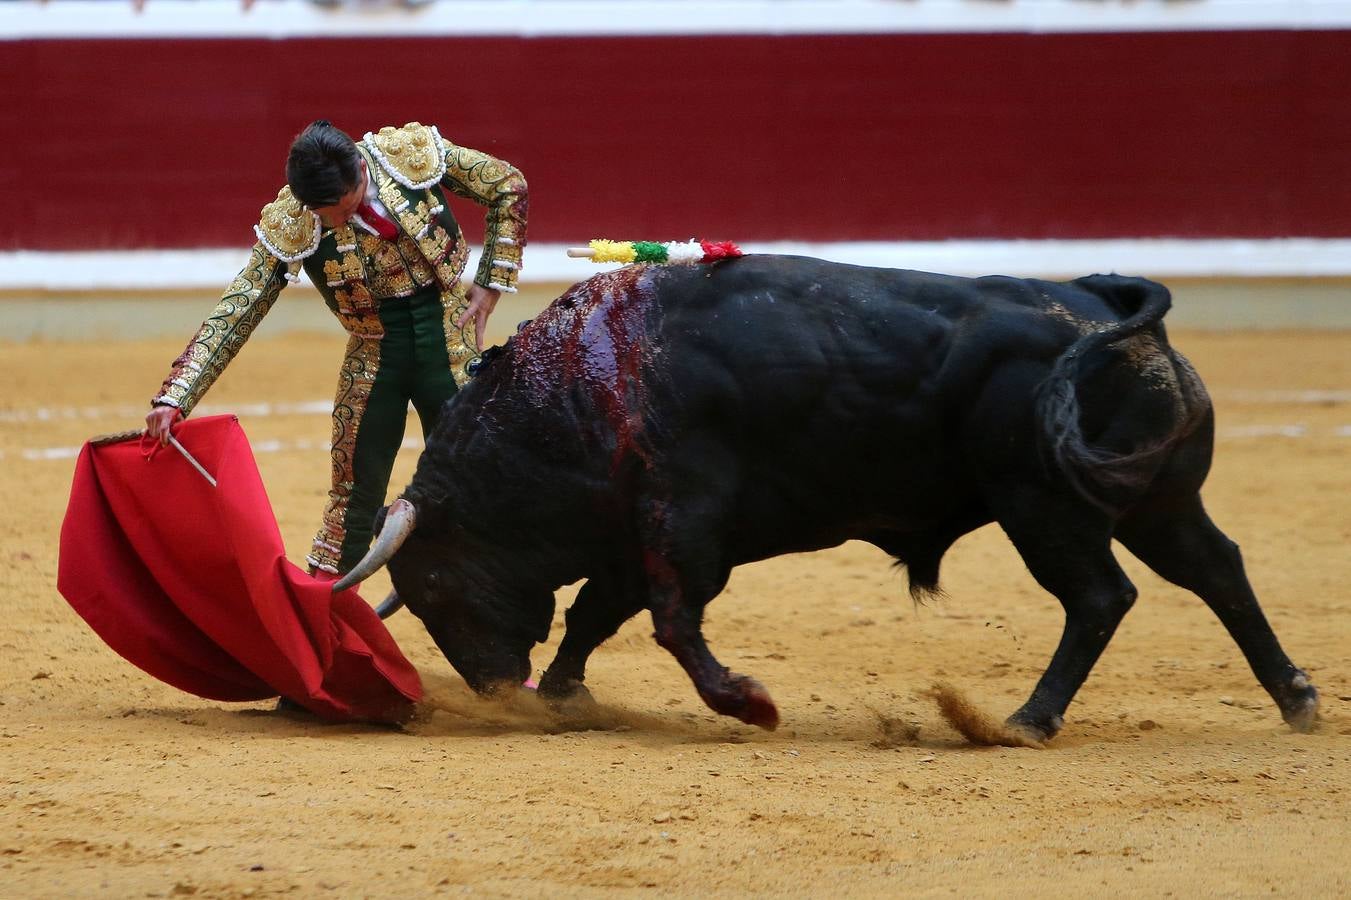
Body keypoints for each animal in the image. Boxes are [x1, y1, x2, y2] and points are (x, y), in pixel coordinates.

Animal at [337, 255, 1318, 740]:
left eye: (435, 588)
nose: (495, 688)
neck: (577, 388)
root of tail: (1104, 306)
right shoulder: (631, 527)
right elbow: (597, 613)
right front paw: (566, 696)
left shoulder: (680, 516)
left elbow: (670, 619)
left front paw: (748, 704)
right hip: (1156, 501)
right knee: (1216, 569)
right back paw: (1296, 698)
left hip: (1042, 505)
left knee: (1100, 598)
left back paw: (1025, 721)